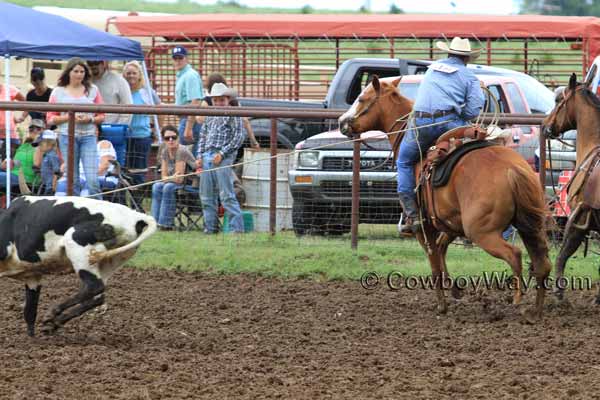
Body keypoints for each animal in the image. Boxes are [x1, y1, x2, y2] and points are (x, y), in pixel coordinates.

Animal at [0, 195, 157, 336]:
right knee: (98, 296)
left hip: (77, 246)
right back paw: (54, 322)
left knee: (94, 287)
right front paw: (31, 338)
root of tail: (136, 216)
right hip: (110, 261)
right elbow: (30, 311)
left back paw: (53, 313)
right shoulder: (33, 277)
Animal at [340, 75, 552, 318]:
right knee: (542, 263)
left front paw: (442, 304)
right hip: (530, 225)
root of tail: (511, 169)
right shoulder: (449, 223)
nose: (342, 122)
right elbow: (442, 249)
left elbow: (433, 261)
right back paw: (536, 310)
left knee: (514, 254)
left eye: (361, 99)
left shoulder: (424, 228)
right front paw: (455, 289)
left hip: (482, 232)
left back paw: (516, 298)